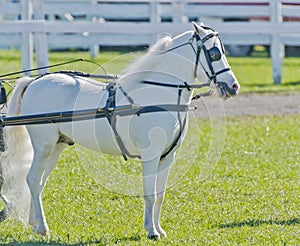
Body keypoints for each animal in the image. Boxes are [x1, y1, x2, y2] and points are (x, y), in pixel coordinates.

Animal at [0, 22, 239, 238]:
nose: (233, 87)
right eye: (214, 53)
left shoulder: (167, 157)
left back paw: (35, 224)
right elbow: (150, 194)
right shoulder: (150, 155)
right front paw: (151, 231)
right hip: (44, 145)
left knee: (39, 182)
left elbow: (160, 194)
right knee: (32, 179)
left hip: (57, 145)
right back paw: (42, 227)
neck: (157, 93)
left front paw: (159, 229)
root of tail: (34, 81)